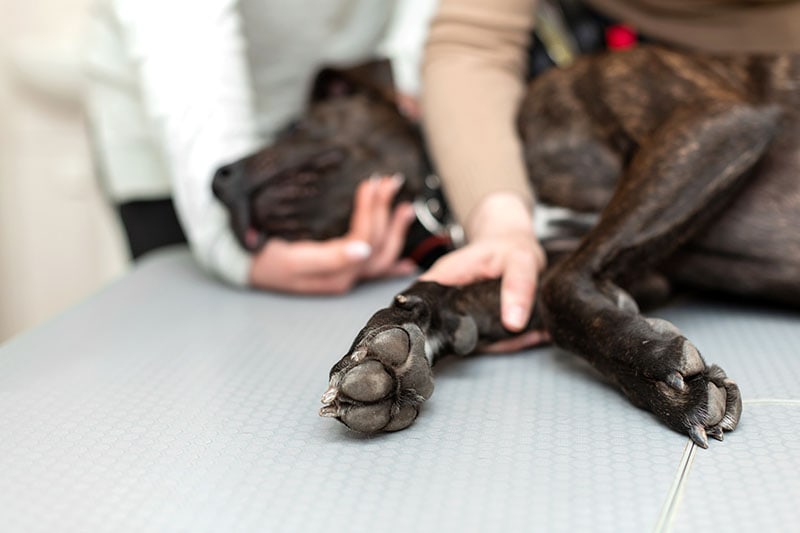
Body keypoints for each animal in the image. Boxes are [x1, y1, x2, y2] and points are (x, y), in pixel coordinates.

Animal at [212, 45, 800, 446]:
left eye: (293, 124)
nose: (216, 180)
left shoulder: (715, 119)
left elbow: (561, 296)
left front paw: (662, 375)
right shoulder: (550, 264)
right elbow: (442, 291)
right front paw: (380, 352)